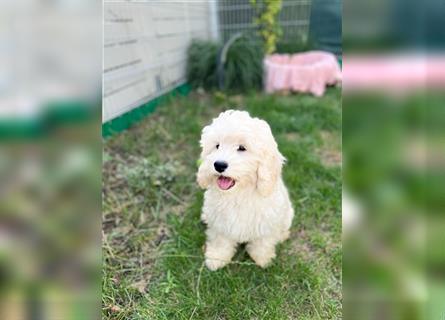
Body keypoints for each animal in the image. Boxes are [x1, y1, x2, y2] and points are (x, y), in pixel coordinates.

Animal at [196, 110, 294, 270]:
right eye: (217, 146)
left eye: (242, 148)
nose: (219, 165)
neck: (238, 194)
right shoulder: (220, 223)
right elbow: (220, 241)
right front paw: (216, 259)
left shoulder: (267, 222)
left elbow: (263, 241)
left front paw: (263, 258)